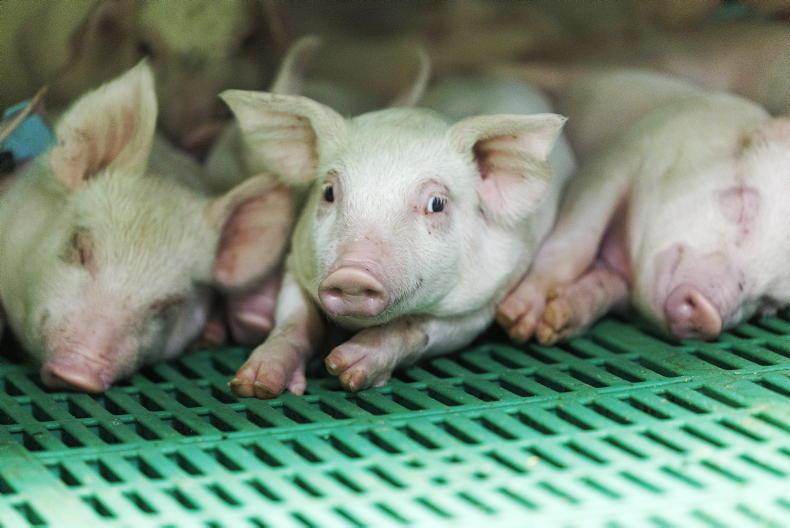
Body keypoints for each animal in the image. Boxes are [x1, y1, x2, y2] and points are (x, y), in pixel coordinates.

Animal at [219, 76, 574, 398]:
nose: (352, 273)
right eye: (329, 192)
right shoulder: (297, 262)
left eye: (437, 203)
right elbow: (293, 321)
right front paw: (253, 385)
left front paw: (346, 367)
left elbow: (413, 326)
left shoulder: (485, 301)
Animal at [496, 69, 790, 345]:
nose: (706, 314)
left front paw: (557, 321)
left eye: (768, 304)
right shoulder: (615, 160)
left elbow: (602, 289)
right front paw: (516, 322)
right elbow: (576, 243)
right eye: (742, 203)